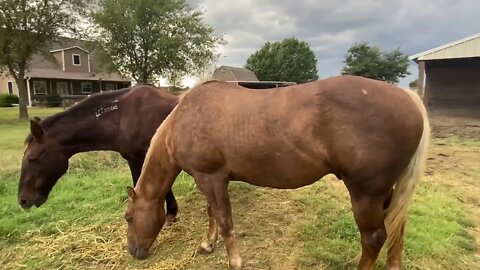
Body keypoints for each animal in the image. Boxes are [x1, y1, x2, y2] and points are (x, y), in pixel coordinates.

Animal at [17, 85, 180, 225]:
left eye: (32, 159)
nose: (23, 200)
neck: (123, 117)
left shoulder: (142, 159)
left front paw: (169, 214)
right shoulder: (136, 159)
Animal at [124, 74, 432, 270]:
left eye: (128, 217)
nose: (133, 252)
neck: (183, 119)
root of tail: (408, 96)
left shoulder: (211, 179)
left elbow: (224, 221)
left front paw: (234, 261)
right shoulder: (209, 181)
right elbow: (212, 214)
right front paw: (207, 245)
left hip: (365, 194)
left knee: (374, 239)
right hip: (385, 192)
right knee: (397, 228)